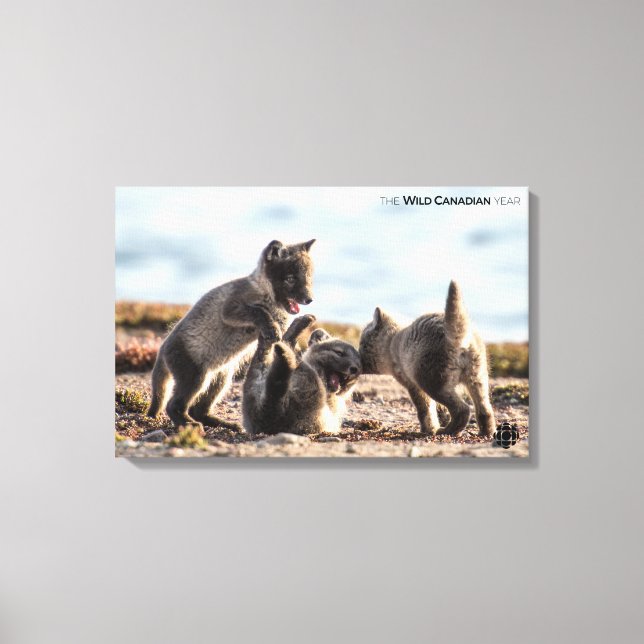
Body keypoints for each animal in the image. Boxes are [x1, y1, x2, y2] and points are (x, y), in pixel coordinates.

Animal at [147, 239, 316, 431]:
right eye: (290, 279)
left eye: (309, 278)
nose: (309, 299)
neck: (267, 295)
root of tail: (162, 349)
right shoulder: (229, 309)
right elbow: (258, 311)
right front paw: (270, 325)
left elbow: (285, 332)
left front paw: (300, 324)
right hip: (195, 378)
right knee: (172, 405)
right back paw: (188, 424)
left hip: (221, 379)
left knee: (199, 410)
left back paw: (221, 423)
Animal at [359, 280, 495, 438]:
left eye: (362, 344)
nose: (356, 357)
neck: (393, 343)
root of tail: (459, 338)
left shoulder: (412, 384)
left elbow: (425, 409)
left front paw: (429, 429)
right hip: (477, 378)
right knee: (485, 410)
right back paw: (486, 432)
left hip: (432, 381)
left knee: (463, 409)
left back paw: (447, 431)